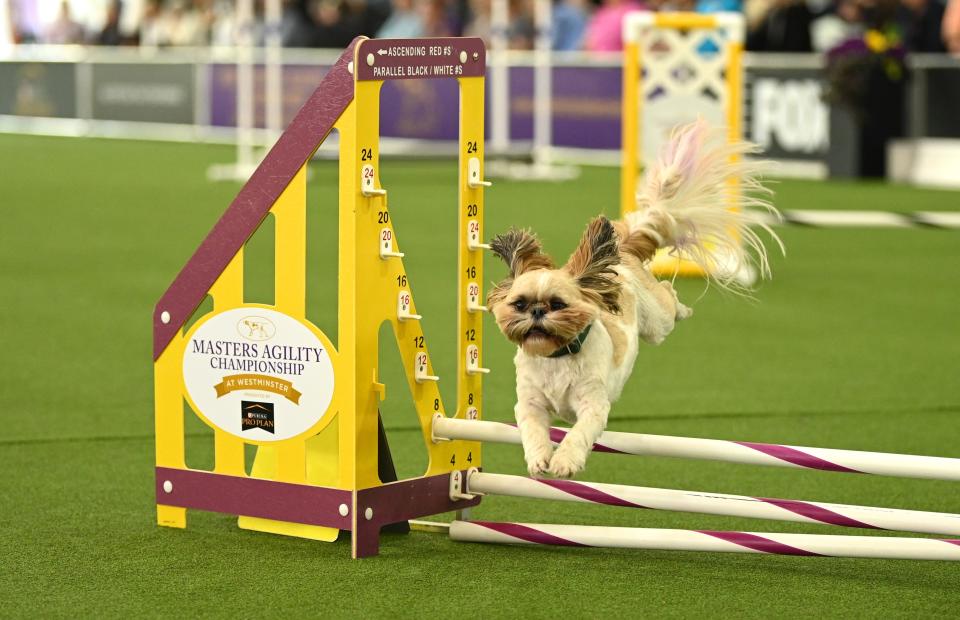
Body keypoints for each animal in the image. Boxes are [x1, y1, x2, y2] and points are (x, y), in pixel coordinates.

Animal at [488, 121, 780, 480]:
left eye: (558, 304)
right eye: (519, 304)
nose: (538, 311)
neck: (556, 356)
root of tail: (623, 249)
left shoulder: (593, 404)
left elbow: (578, 433)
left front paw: (565, 460)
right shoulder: (530, 402)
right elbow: (532, 429)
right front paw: (540, 458)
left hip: (657, 322)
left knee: (669, 298)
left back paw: (683, 307)